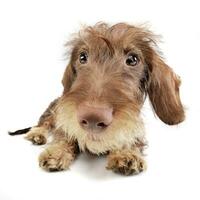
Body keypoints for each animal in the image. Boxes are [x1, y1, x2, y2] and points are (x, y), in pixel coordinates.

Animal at [9, 22, 184, 175]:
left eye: (133, 59)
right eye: (82, 57)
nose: (92, 117)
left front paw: (126, 152)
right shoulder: (65, 122)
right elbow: (63, 136)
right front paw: (56, 152)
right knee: (43, 123)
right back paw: (37, 134)